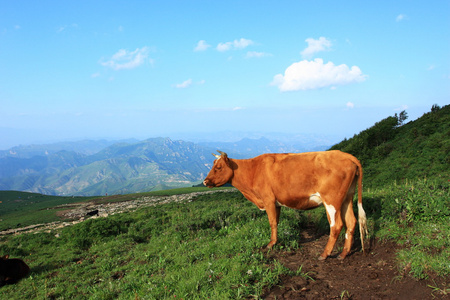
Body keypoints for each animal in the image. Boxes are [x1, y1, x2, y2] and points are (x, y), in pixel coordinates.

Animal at [204, 150, 370, 260]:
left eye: (218, 167)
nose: (205, 181)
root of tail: (345, 154)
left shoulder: (268, 199)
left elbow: (272, 222)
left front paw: (271, 244)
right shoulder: (276, 203)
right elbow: (276, 222)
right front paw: (275, 241)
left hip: (331, 200)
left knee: (336, 225)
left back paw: (324, 254)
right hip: (347, 198)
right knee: (351, 222)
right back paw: (343, 254)